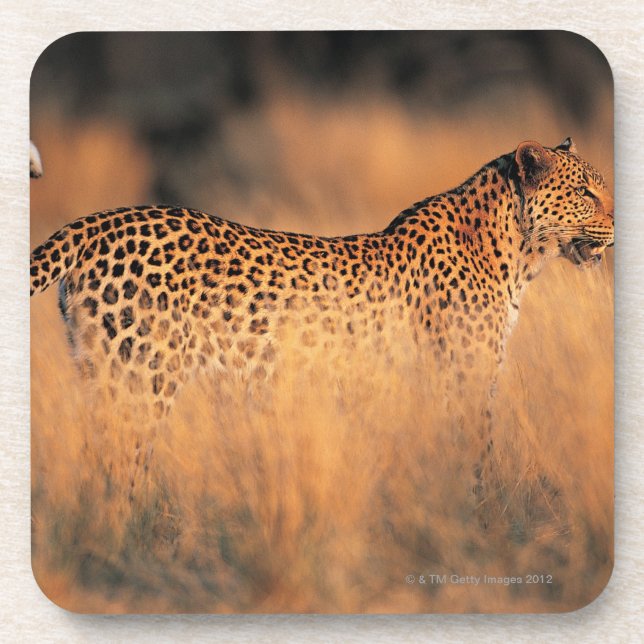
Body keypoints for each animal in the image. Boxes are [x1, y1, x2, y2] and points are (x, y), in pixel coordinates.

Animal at [30, 137, 614, 508]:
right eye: (586, 193)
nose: (617, 223)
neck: (517, 252)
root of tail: (96, 222)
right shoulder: (462, 379)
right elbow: (477, 457)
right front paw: (484, 520)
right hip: (141, 380)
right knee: (118, 466)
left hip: (103, 375)